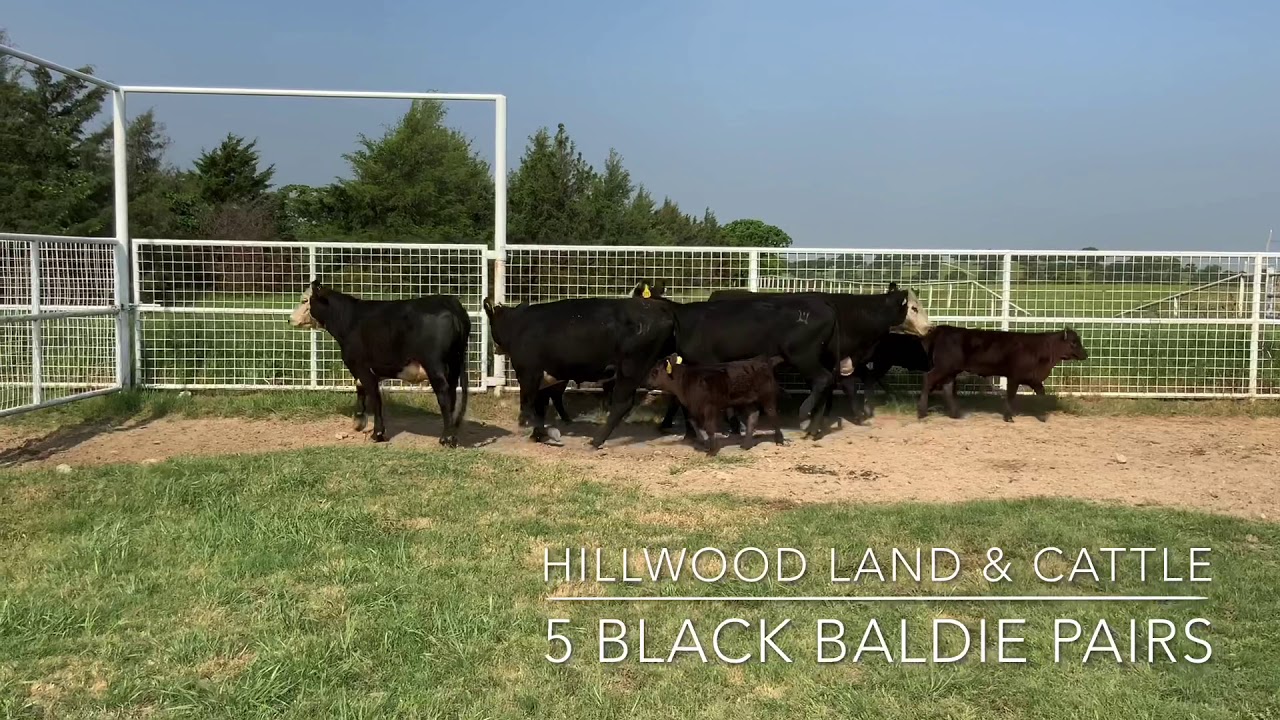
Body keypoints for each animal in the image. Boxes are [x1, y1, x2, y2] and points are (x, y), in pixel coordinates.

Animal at [288, 280, 470, 446]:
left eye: (304, 300)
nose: (290, 319)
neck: (349, 320)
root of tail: (448, 302)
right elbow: (361, 388)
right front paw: (358, 421)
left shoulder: (361, 366)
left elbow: (375, 398)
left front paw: (377, 434)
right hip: (454, 365)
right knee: (452, 394)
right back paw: (451, 434)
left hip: (434, 366)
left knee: (444, 395)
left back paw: (446, 438)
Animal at [483, 284, 675, 448]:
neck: (519, 325)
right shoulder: (545, 377)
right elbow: (540, 406)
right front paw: (537, 435)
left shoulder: (528, 374)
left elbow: (529, 407)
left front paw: (546, 433)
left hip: (630, 369)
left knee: (622, 404)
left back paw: (595, 441)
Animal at [643, 353, 787, 456]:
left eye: (655, 371)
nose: (646, 384)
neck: (685, 380)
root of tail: (763, 360)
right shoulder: (693, 407)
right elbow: (693, 421)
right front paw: (703, 441)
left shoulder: (710, 407)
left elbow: (710, 427)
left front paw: (712, 451)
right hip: (746, 400)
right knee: (753, 416)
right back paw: (745, 445)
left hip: (767, 395)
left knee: (772, 413)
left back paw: (779, 440)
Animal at [917, 325, 1089, 422]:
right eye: (1074, 342)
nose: (1085, 355)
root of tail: (943, 328)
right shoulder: (1015, 376)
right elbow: (1011, 395)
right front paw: (1008, 417)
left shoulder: (1032, 378)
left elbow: (1041, 393)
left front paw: (1042, 416)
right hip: (944, 366)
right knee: (928, 379)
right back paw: (922, 413)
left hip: (951, 369)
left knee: (947, 387)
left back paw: (956, 414)